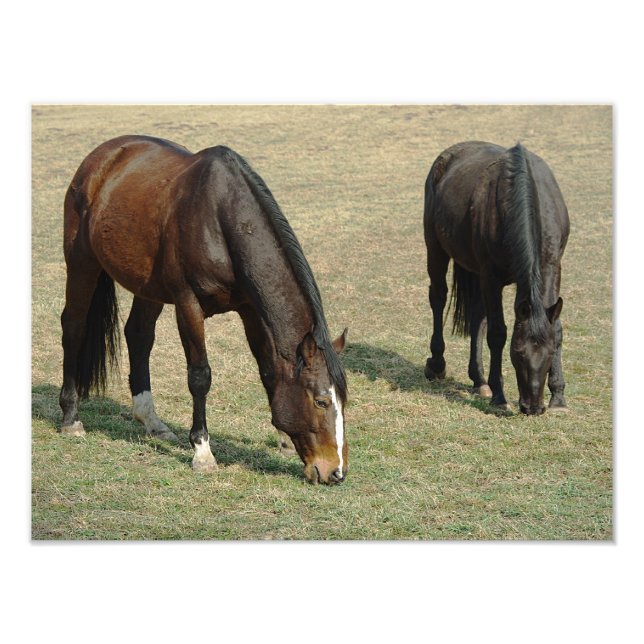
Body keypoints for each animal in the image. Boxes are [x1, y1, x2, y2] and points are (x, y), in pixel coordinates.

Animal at [59, 135, 348, 485]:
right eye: (321, 401)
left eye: (344, 401)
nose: (336, 472)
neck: (222, 218)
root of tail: (103, 156)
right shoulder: (188, 305)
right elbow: (200, 376)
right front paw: (202, 452)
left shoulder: (249, 309)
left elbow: (268, 370)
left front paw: (283, 439)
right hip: (82, 263)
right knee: (73, 328)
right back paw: (71, 417)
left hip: (147, 287)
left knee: (138, 336)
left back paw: (151, 421)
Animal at [423, 141, 570, 415]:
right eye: (519, 353)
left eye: (549, 353)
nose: (533, 407)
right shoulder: (491, 278)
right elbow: (497, 333)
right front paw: (500, 397)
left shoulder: (553, 268)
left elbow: (556, 327)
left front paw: (558, 397)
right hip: (436, 249)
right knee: (438, 298)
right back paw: (436, 365)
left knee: (476, 317)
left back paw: (479, 380)